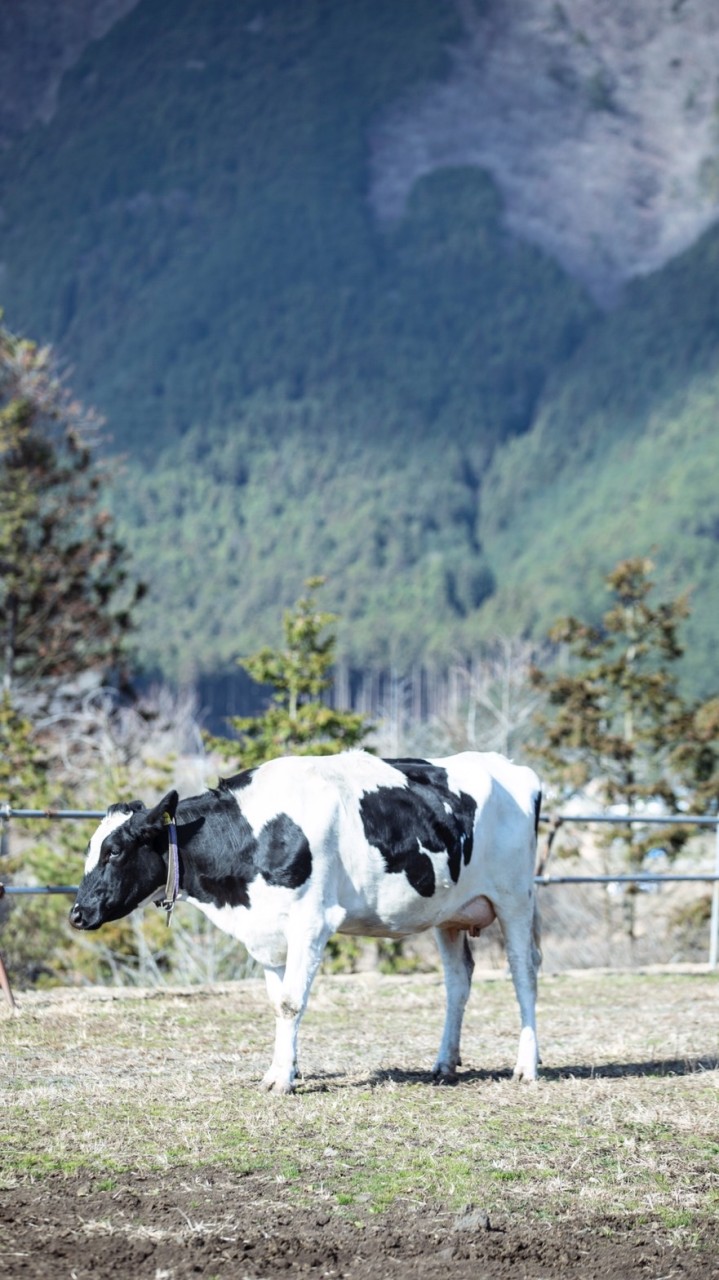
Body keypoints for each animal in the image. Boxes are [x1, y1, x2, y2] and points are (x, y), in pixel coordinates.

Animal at [70, 747, 539, 1090]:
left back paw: (527, 1066)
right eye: (91, 849)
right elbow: (277, 1001)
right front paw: (285, 1068)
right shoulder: (266, 932)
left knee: (523, 975)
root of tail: (510, 767)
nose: (78, 913)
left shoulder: (311, 922)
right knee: (458, 981)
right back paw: (444, 1062)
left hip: (516, 898)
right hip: (449, 914)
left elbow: (291, 1002)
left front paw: (281, 1079)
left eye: (114, 851)